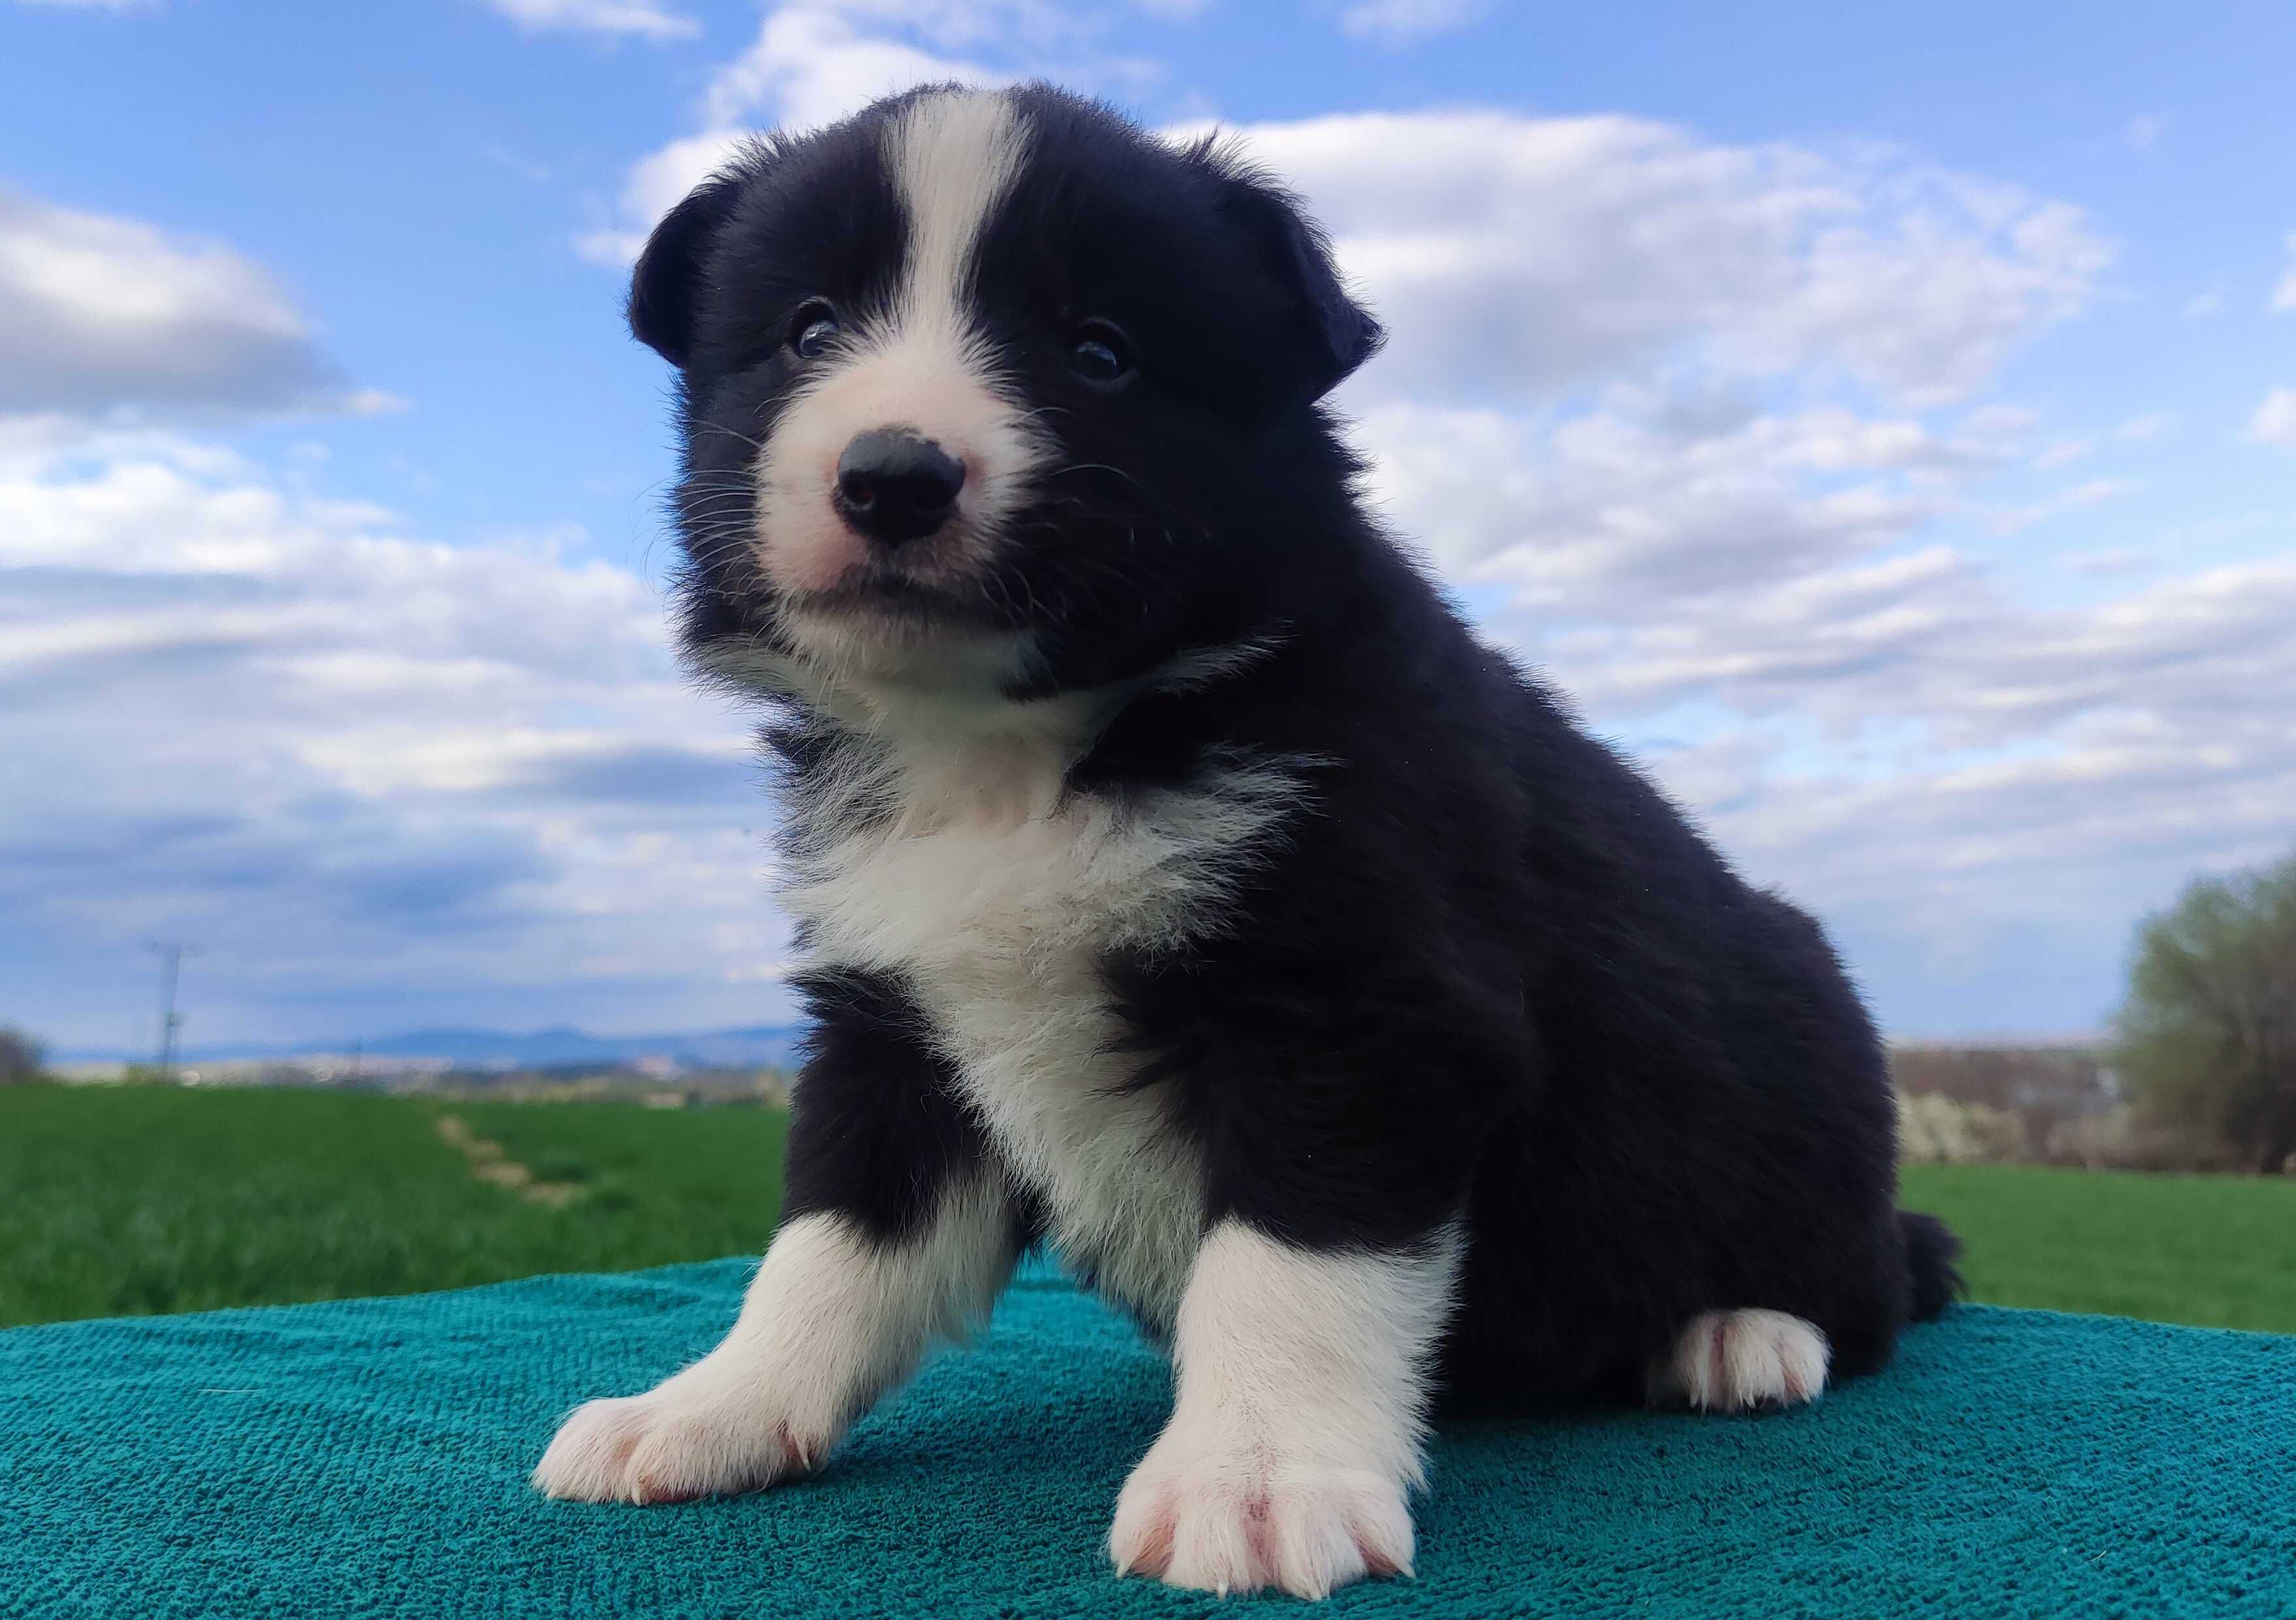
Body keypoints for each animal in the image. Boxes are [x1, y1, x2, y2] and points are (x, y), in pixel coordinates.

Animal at [528, 84, 1965, 1587]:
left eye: (1098, 350)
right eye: (808, 330)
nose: (892, 476)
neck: (1013, 750)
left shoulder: (1353, 999)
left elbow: (1288, 1259)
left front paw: (1259, 1478)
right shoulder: (892, 1021)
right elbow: (831, 1242)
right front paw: (710, 1409)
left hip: (1802, 1063)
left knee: (1877, 1279)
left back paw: (1740, 1331)